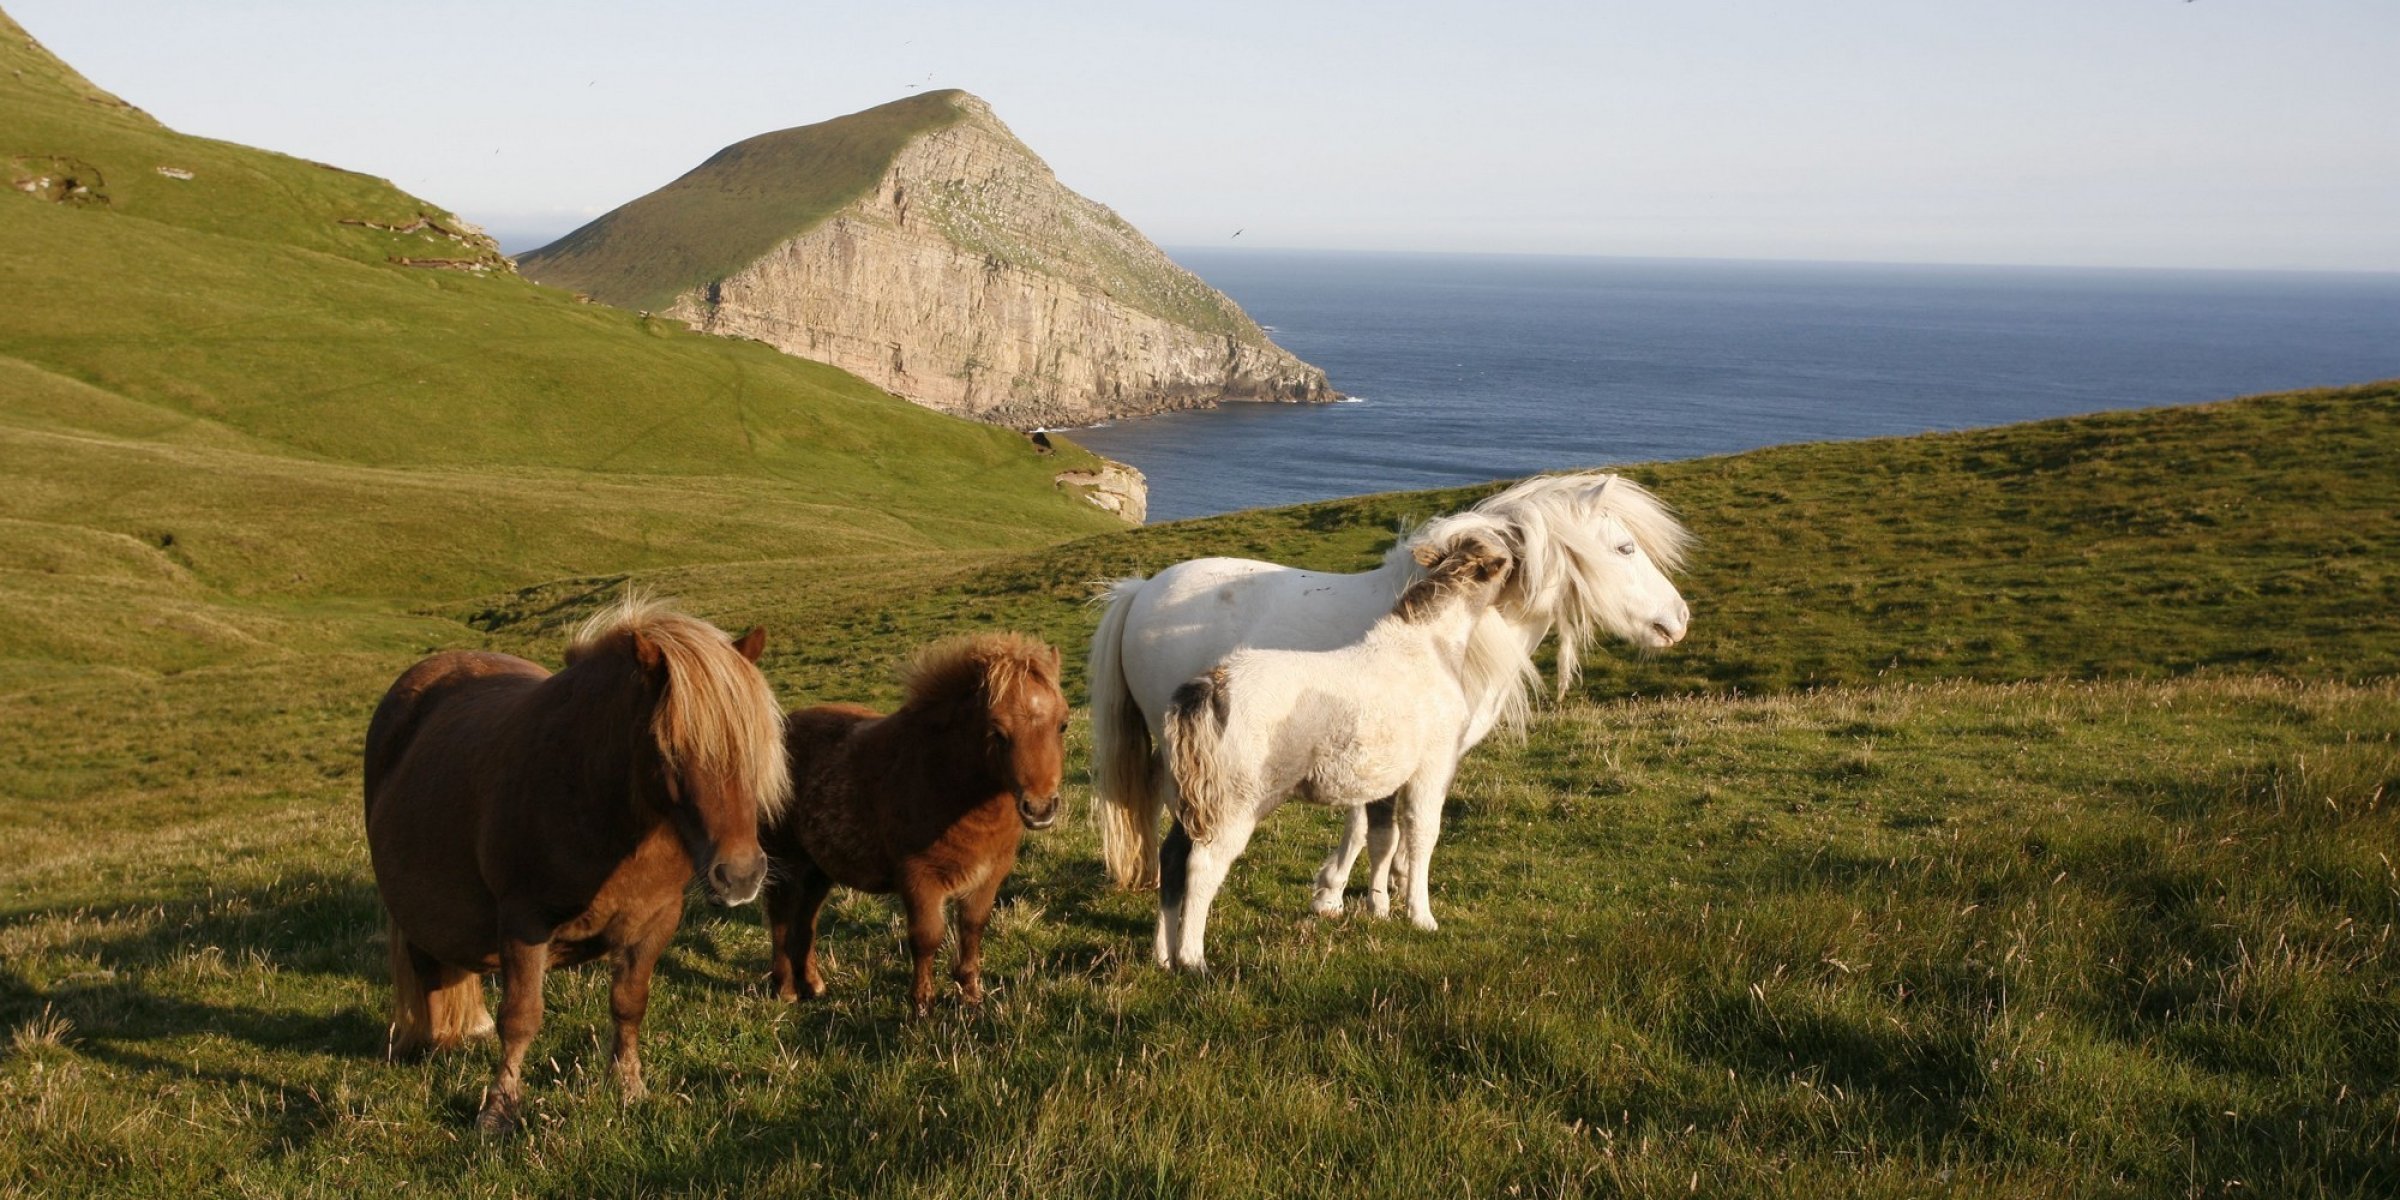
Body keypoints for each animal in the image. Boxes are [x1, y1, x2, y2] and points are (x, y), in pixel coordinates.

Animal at [363, 595, 790, 1134]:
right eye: (669, 749)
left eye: (752, 747)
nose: (740, 876)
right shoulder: (524, 923)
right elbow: (521, 1017)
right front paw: (500, 1108)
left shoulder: (655, 921)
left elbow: (629, 1004)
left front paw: (628, 1087)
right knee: (428, 965)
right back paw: (431, 1040)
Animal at [761, 633, 1068, 1017]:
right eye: (997, 731)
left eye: (1063, 724)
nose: (1040, 808)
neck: (943, 776)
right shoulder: (919, 878)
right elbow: (927, 937)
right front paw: (922, 1005)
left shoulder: (989, 876)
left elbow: (972, 928)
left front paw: (971, 994)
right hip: (785, 861)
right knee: (781, 915)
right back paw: (786, 989)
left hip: (819, 868)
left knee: (806, 919)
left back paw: (813, 985)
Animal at [1090, 471, 1692, 914]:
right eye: (1625, 548)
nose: (1679, 619)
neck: (1445, 629)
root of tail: (1142, 590)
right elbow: (1370, 826)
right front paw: (1339, 895)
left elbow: (1382, 827)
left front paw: (1381, 889)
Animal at [1155, 534, 1518, 973]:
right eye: (1503, 561)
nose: (1518, 567)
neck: (1428, 648)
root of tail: (1211, 686)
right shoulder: (1433, 766)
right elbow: (1422, 833)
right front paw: (1421, 916)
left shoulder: (1385, 778)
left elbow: (1383, 838)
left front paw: (1378, 909)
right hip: (1234, 802)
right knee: (1202, 866)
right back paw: (1192, 959)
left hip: (1190, 796)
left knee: (1172, 857)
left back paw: (1163, 955)